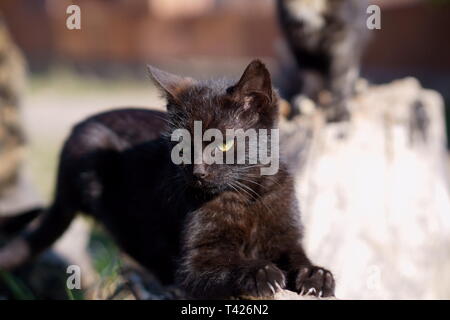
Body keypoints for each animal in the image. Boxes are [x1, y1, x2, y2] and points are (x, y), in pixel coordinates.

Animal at [0, 60, 334, 300]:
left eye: (224, 144)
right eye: (181, 145)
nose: (198, 172)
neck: (246, 196)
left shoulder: (285, 236)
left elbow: (298, 256)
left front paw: (316, 275)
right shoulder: (195, 262)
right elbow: (218, 271)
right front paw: (259, 273)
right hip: (95, 165)